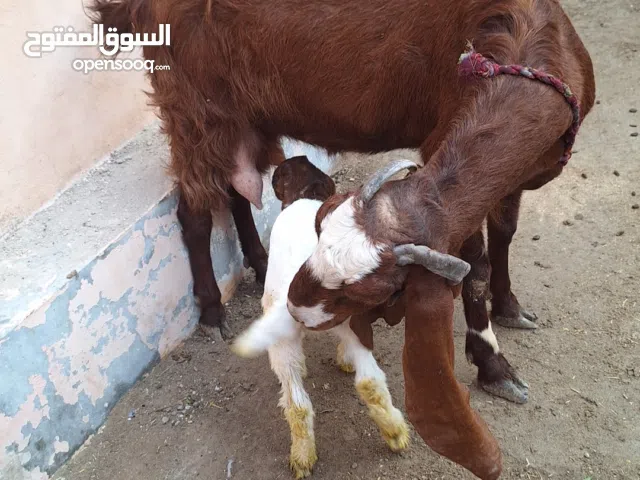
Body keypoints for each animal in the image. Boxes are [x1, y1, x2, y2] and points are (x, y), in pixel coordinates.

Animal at [231, 155, 409, 479]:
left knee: (299, 401)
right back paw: (394, 432)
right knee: (368, 380)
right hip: (345, 320)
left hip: (290, 339)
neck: (304, 195)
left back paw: (304, 455)